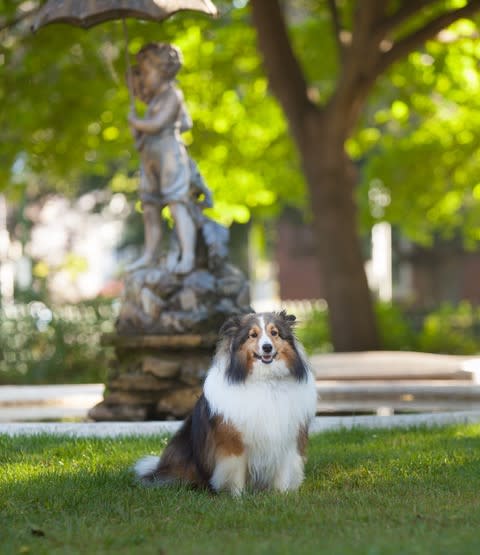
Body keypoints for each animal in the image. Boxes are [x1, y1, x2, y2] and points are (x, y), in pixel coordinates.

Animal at [133, 310, 316, 498]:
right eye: (253, 335)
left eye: (275, 333)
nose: (267, 348)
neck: (265, 380)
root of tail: (158, 470)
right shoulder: (233, 443)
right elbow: (236, 472)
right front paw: (237, 497)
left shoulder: (287, 439)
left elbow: (283, 472)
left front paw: (281, 495)